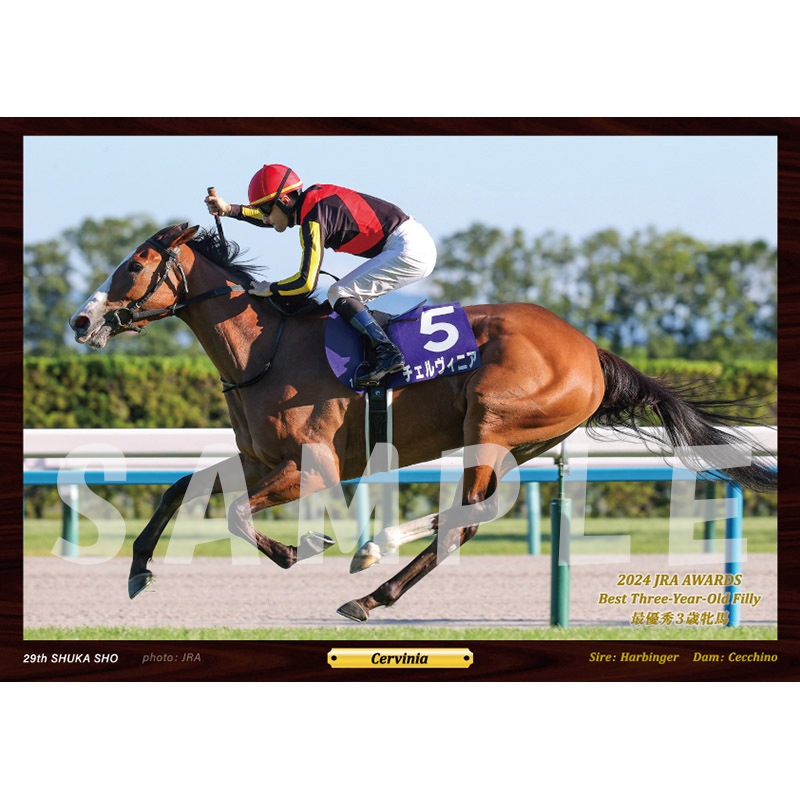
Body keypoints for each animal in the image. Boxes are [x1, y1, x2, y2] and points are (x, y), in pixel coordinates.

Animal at [68, 223, 777, 622]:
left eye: (134, 266)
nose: (82, 320)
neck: (265, 348)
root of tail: (590, 349)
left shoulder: (316, 466)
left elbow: (238, 513)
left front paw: (300, 548)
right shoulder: (263, 458)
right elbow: (177, 488)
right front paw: (137, 570)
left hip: (491, 420)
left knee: (468, 517)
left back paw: (369, 582)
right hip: (517, 441)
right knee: (470, 517)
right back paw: (372, 559)